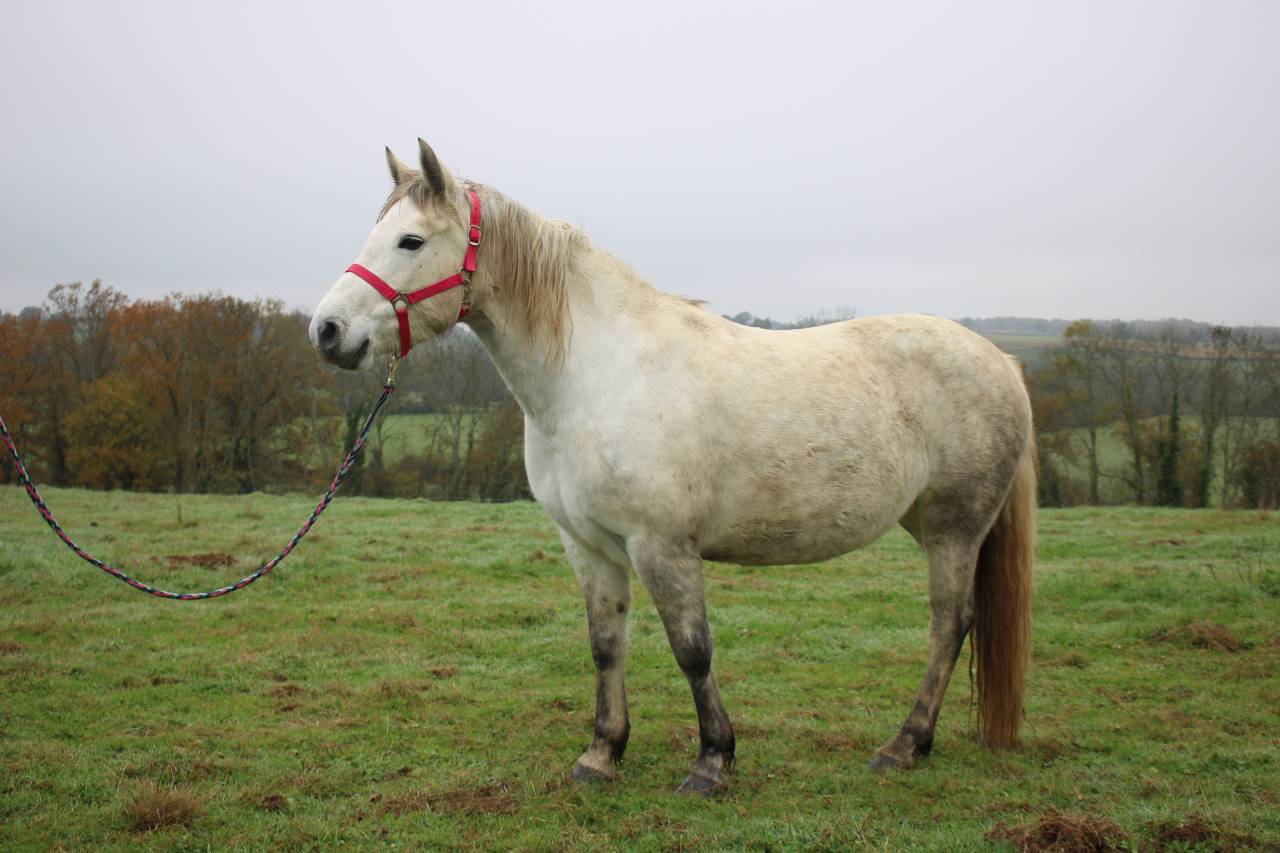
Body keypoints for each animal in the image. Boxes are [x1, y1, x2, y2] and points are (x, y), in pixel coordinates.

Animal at [310, 139, 1035, 794]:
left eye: (409, 241)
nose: (326, 331)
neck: (597, 375)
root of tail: (1002, 361)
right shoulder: (588, 546)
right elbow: (607, 644)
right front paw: (602, 754)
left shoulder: (662, 546)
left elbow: (692, 649)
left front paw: (712, 761)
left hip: (954, 528)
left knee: (950, 622)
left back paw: (903, 745)